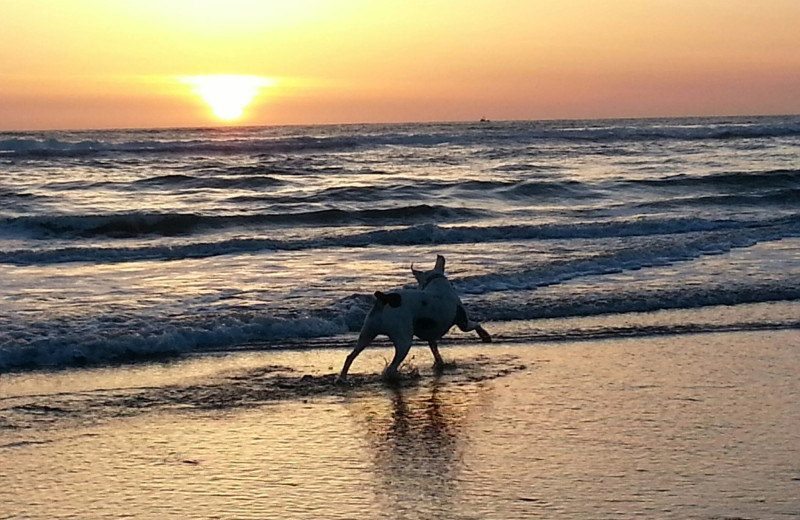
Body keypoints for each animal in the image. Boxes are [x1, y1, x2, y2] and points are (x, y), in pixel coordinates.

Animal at [334, 255, 490, 382]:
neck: (435, 281)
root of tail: (384, 299)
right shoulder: (463, 322)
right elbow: (475, 325)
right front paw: (485, 336)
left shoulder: (430, 334)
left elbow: (434, 348)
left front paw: (440, 364)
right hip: (403, 340)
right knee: (391, 368)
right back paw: (401, 375)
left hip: (367, 332)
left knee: (350, 356)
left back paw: (342, 378)